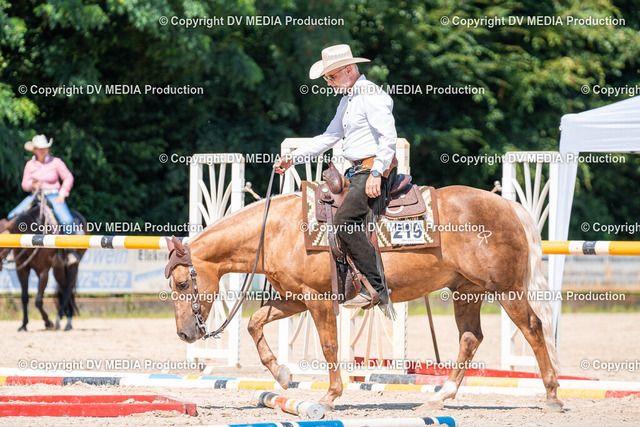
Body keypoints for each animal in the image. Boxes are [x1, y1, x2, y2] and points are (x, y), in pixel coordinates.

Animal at [0, 196, 86, 331]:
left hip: (73, 265)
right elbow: (24, 297)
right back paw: (66, 320)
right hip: (58, 268)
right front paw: (24, 325)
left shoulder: (43, 271)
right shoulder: (22, 269)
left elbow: (38, 300)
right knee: (63, 287)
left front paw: (48, 322)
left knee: (67, 288)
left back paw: (62, 321)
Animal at [165, 185, 563, 412]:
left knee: (532, 328)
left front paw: (329, 396)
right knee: (470, 338)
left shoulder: (319, 300)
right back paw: (439, 397)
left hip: (506, 289)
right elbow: (254, 322)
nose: (184, 333)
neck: (278, 230)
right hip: (467, 291)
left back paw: (552, 395)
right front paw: (282, 374)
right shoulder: (295, 298)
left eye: (183, 284)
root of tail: (508, 206)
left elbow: (329, 346)